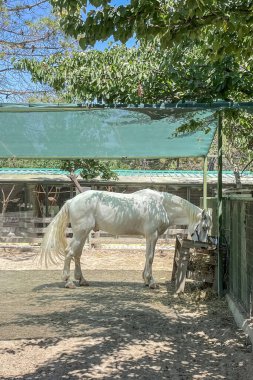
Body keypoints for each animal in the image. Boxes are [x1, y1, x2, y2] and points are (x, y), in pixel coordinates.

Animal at [39, 189, 211, 290]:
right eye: (204, 227)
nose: (203, 247)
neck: (161, 205)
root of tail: (72, 201)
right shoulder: (152, 235)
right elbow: (150, 257)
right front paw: (152, 282)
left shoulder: (149, 237)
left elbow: (147, 256)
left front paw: (146, 279)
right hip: (80, 233)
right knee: (69, 252)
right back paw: (68, 282)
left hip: (82, 233)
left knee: (77, 254)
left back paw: (82, 280)